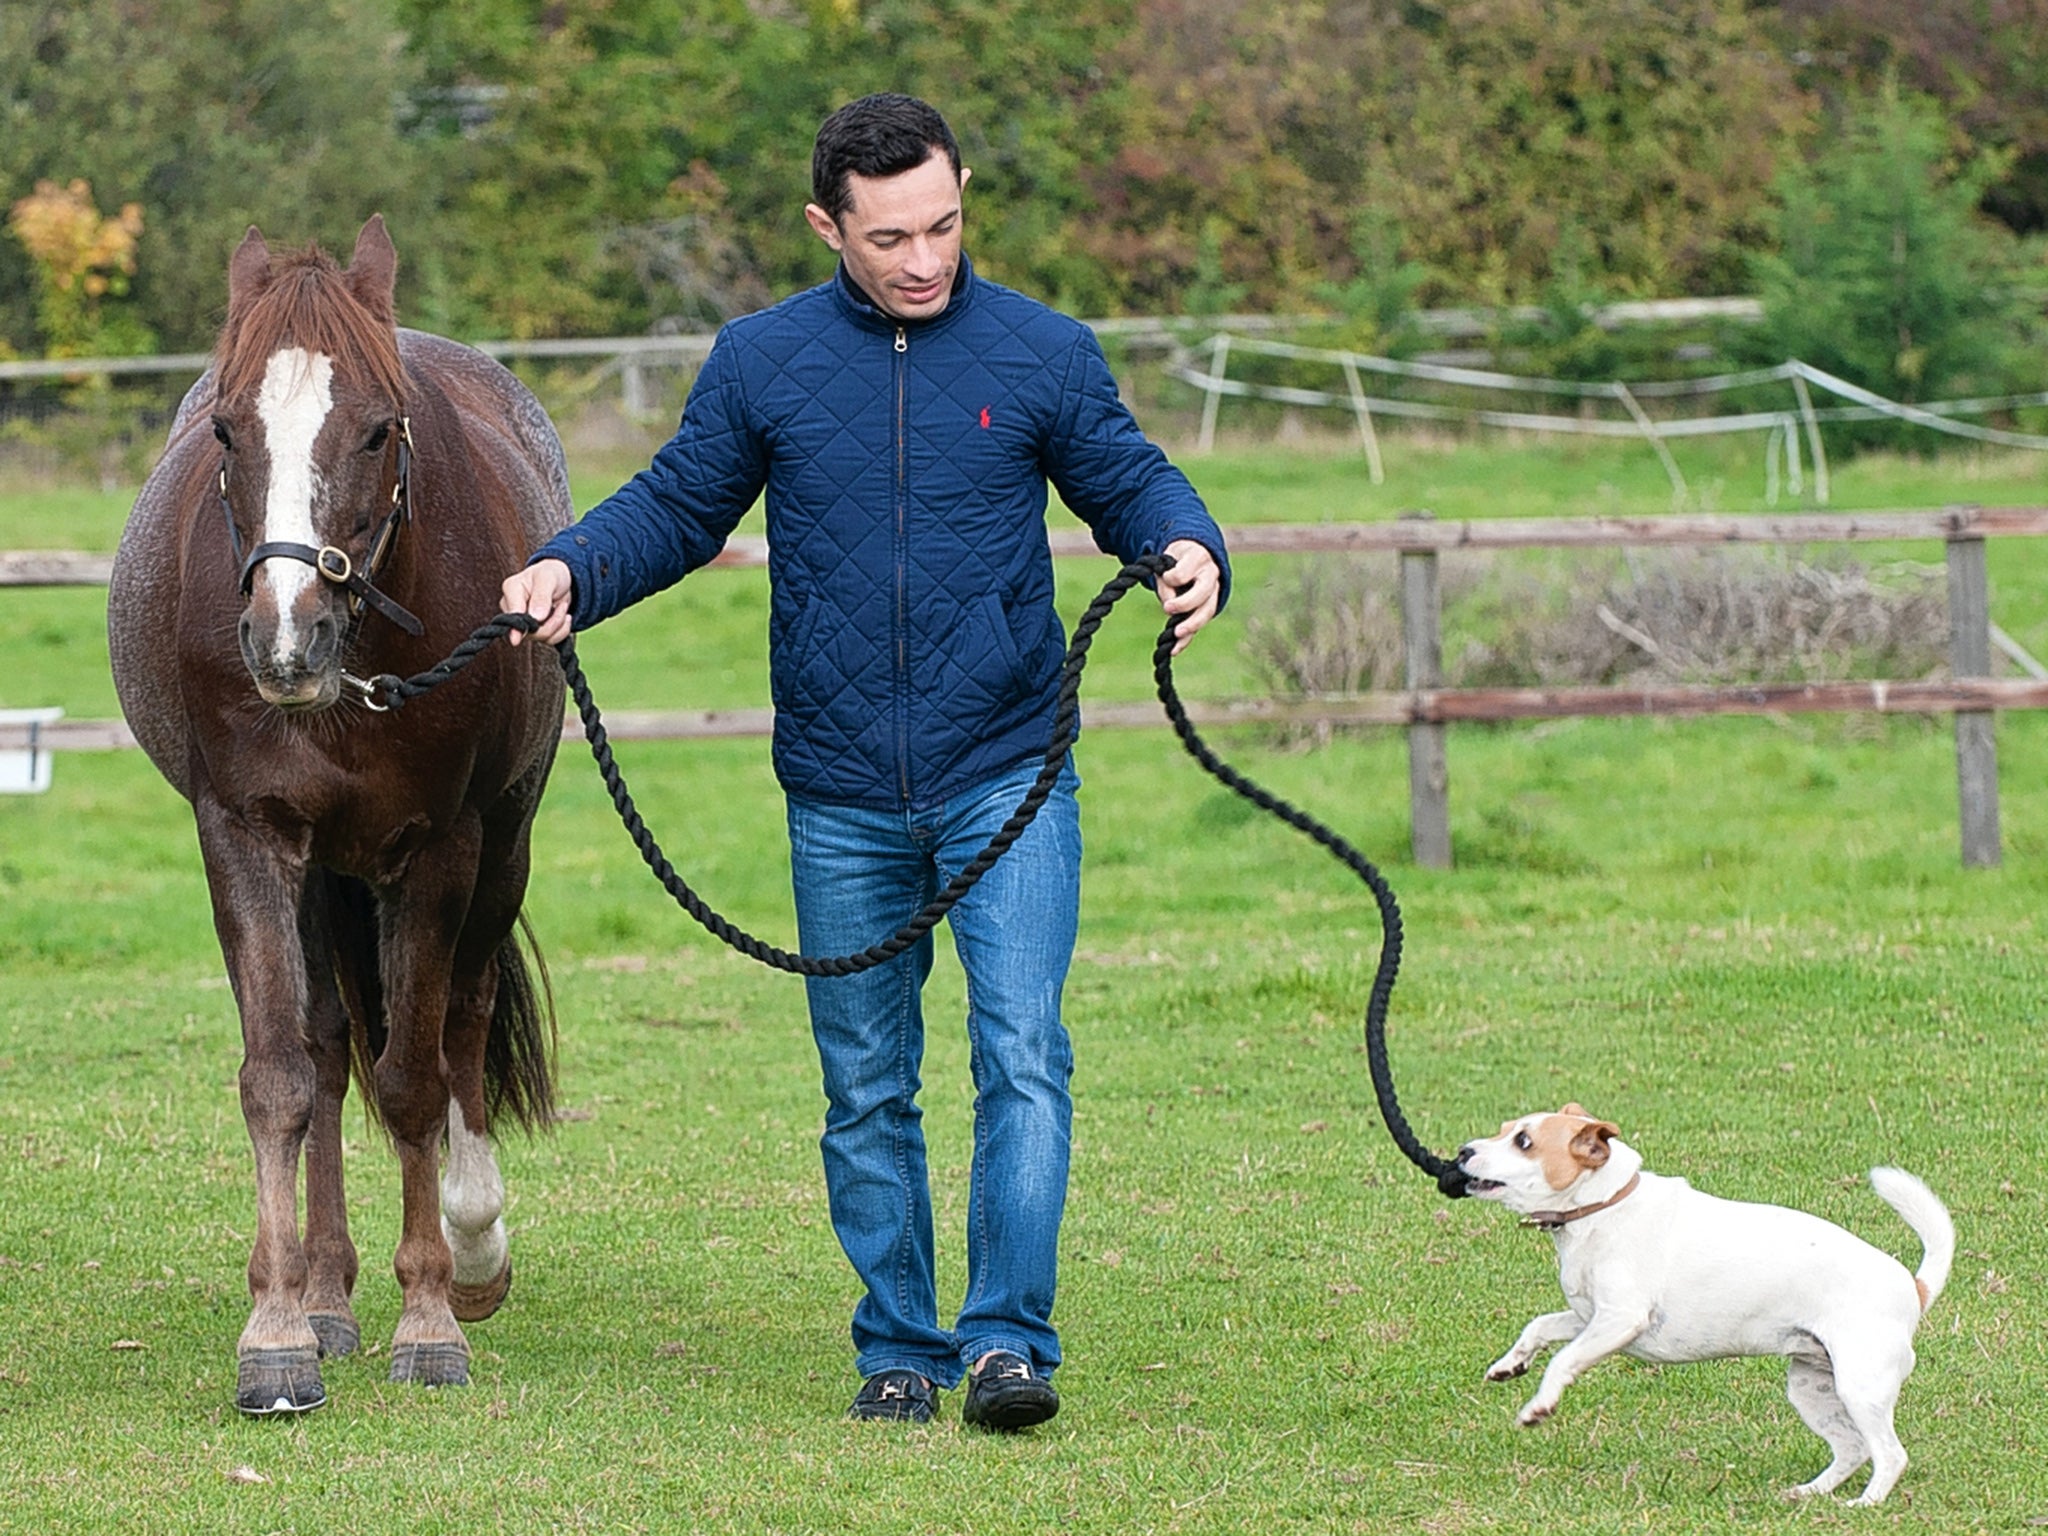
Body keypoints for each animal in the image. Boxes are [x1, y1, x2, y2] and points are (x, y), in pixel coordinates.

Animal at [116, 219, 573, 1417]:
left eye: (376, 430)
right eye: (226, 429)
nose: (287, 638)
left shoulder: (442, 847)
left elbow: (416, 1077)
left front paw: (432, 1318)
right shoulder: (246, 834)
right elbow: (280, 1075)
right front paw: (277, 1331)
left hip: (501, 844)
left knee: (458, 1024)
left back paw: (472, 1249)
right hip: (324, 871)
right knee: (326, 1052)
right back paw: (325, 1294)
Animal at [1458, 1114, 1949, 1507]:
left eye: (1523, 1141)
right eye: (1504, 1129)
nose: (1463, 1151)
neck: (1606, 1206)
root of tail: (1913, 1286)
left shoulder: (1618, 1320)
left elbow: (1562, 1360)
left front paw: (1539, 1406)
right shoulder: (1585, 1318)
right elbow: (1538, 1327)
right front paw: (1510, 1364)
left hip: (1860, 1388)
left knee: (1890, 1454)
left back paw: (1865, 1504)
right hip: (1811, 1388)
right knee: (1852, 1448)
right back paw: (1808, 1493)